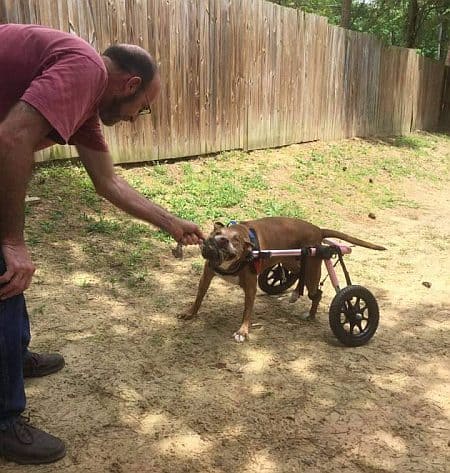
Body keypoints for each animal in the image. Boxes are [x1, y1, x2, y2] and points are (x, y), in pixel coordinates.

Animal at [181, 216, 384, 342]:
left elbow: (247, 311)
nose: (223, 240)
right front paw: (190, 313)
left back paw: (312, 314)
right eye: (217, 234)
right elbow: (199, 297)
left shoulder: (250, 288)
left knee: (317, 293)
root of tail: (318, 230)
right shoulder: (206, 276)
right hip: (289, 260)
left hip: (312, 268)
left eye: (236, 240)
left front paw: (242, 332)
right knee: (299, 273)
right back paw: (294, 293)